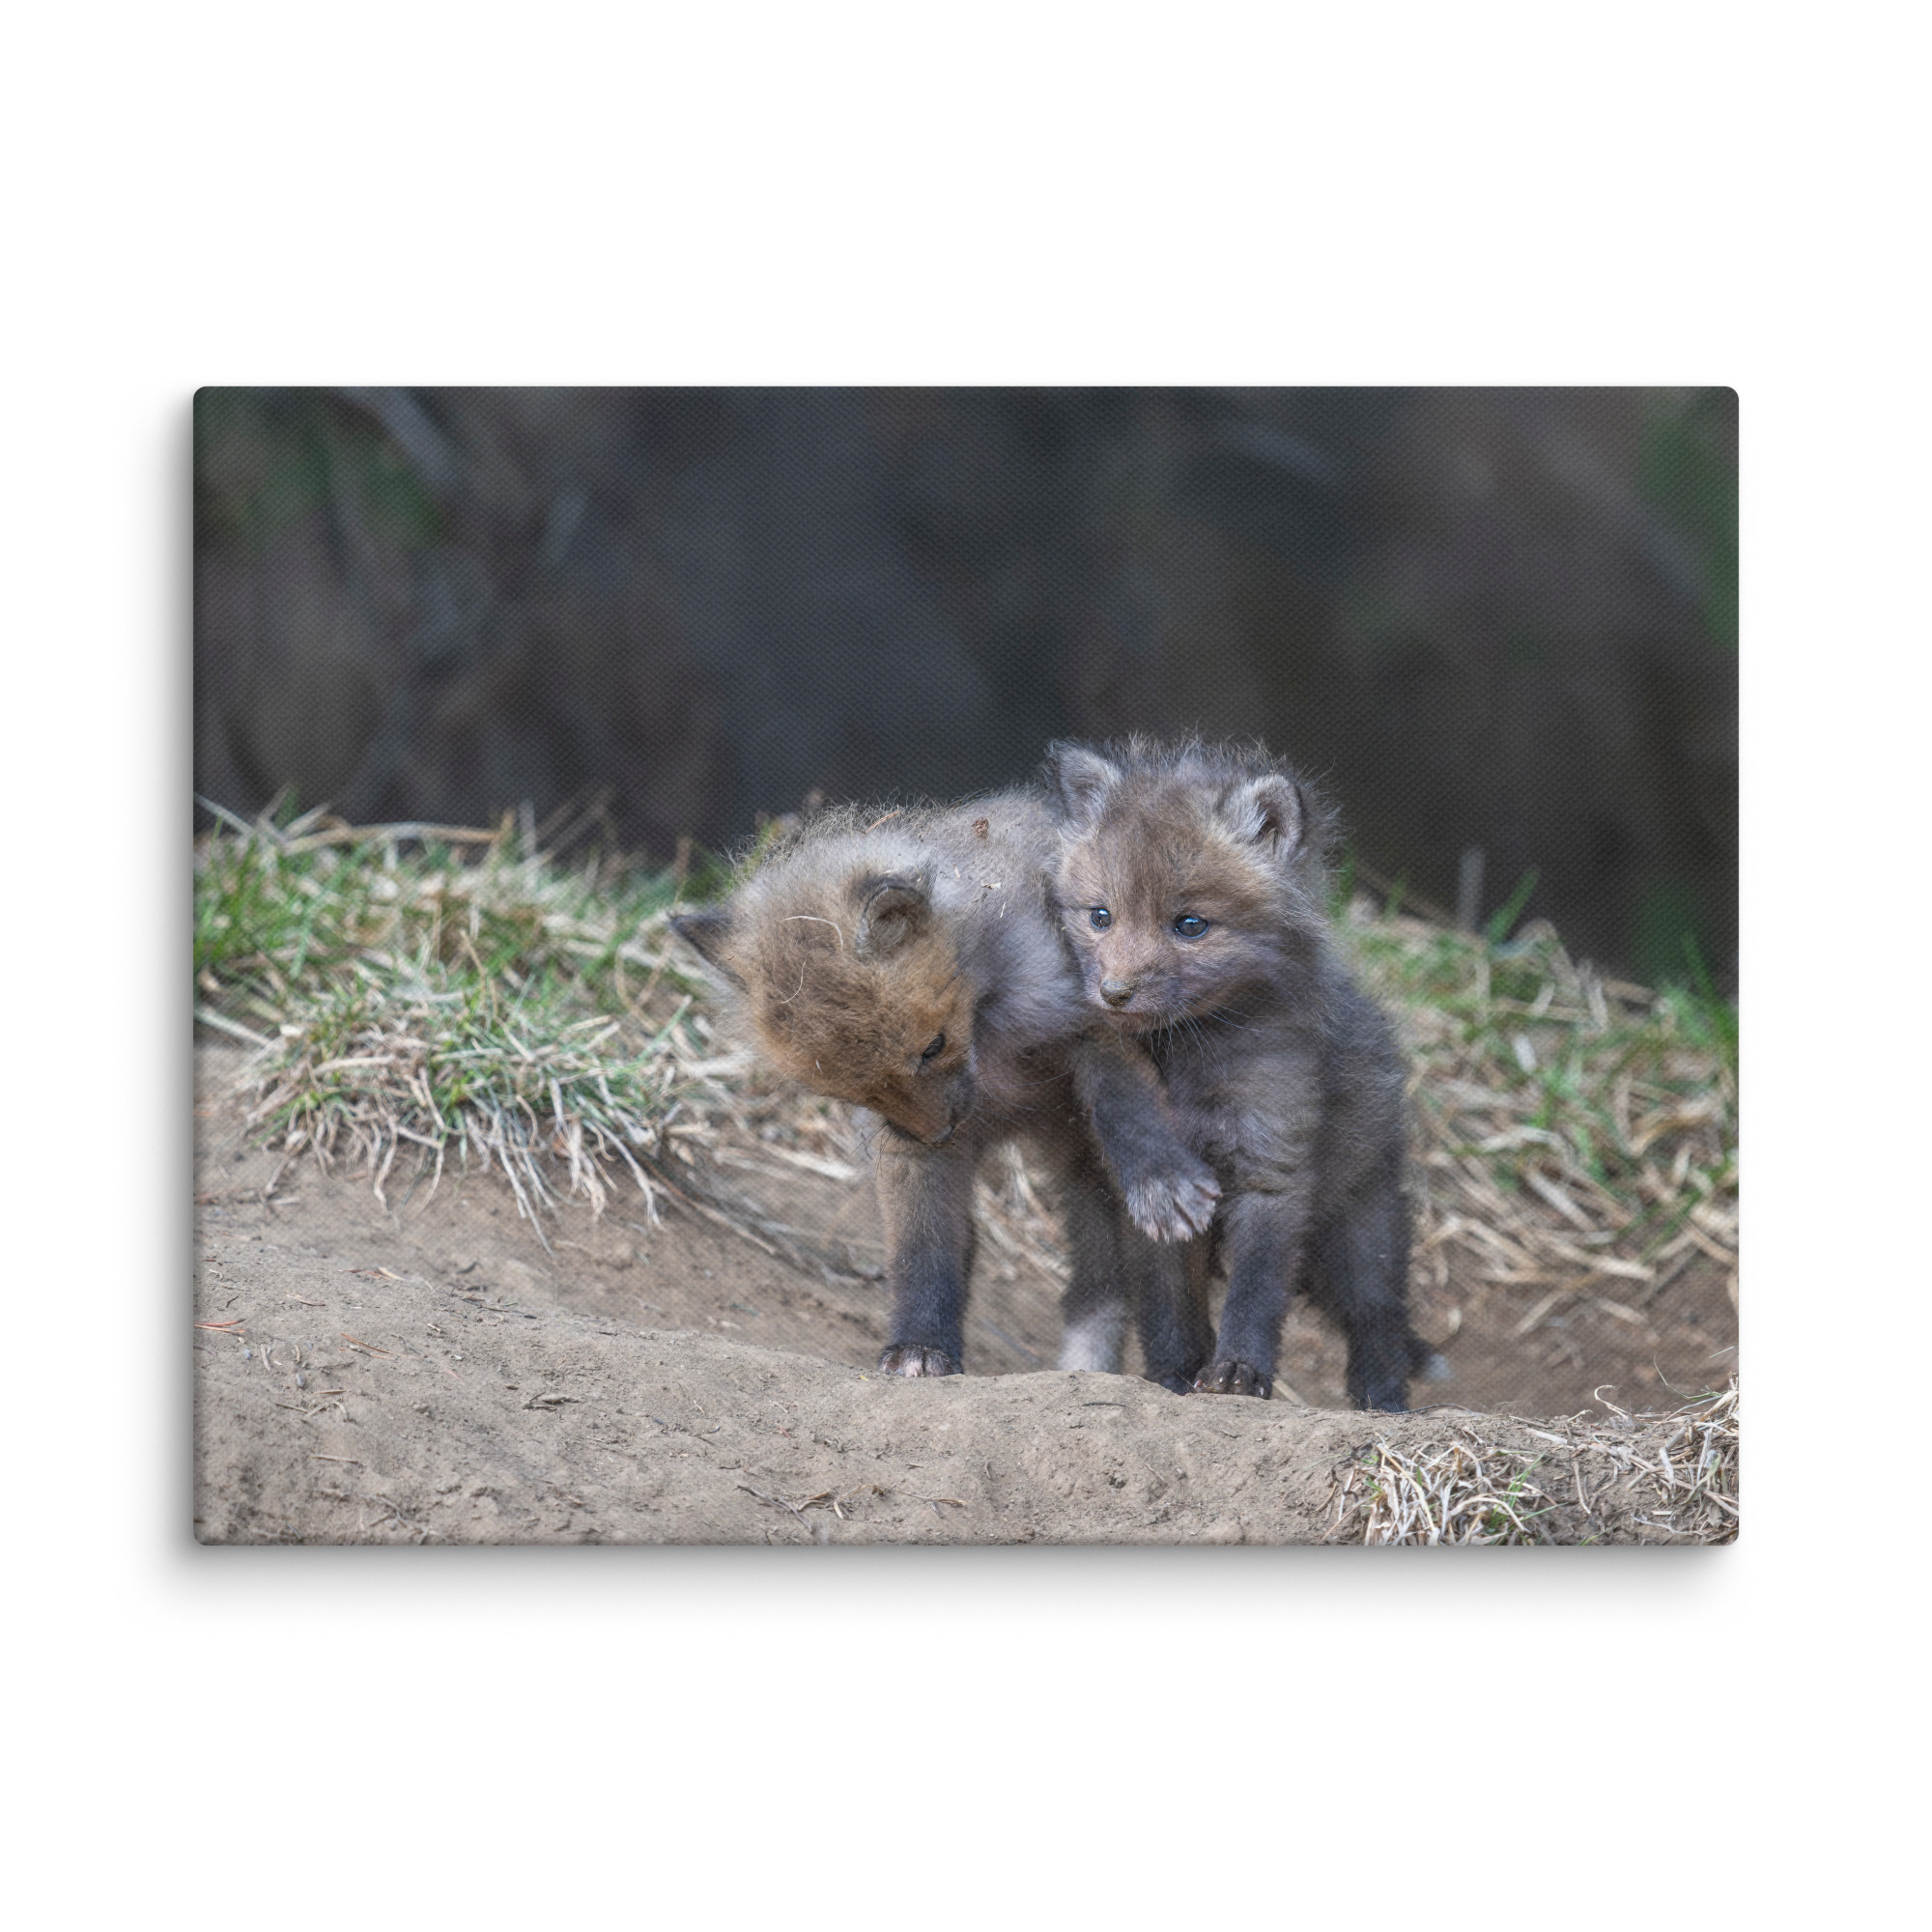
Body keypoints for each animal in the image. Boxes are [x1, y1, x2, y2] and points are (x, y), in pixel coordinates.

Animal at [668, 793, 1221, 1385]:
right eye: (852, 1091)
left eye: (933, 1046)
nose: (938, 1133)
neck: (991, 1039)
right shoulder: (903, 1146)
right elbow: (922, 1250)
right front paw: (920, 1346)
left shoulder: (1095, 1022)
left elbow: (1128, 1109)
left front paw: (1160, 1179)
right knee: (1093, 1287)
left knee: (1159, 1287)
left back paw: (1177, 1374)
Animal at [1042, 737, 1422, 1411]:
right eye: (1100, 916)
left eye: (1190, 925)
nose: (1113, 993)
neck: (1190, 1061)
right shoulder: (1155, 1200)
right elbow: (1168, 1306)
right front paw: (1172, 1377)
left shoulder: (1271, 1166)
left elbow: (1256, 1292)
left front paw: (1239, 1372)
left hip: (1361, 1231)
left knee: (1379, 1318)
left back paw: (1384, 1404)